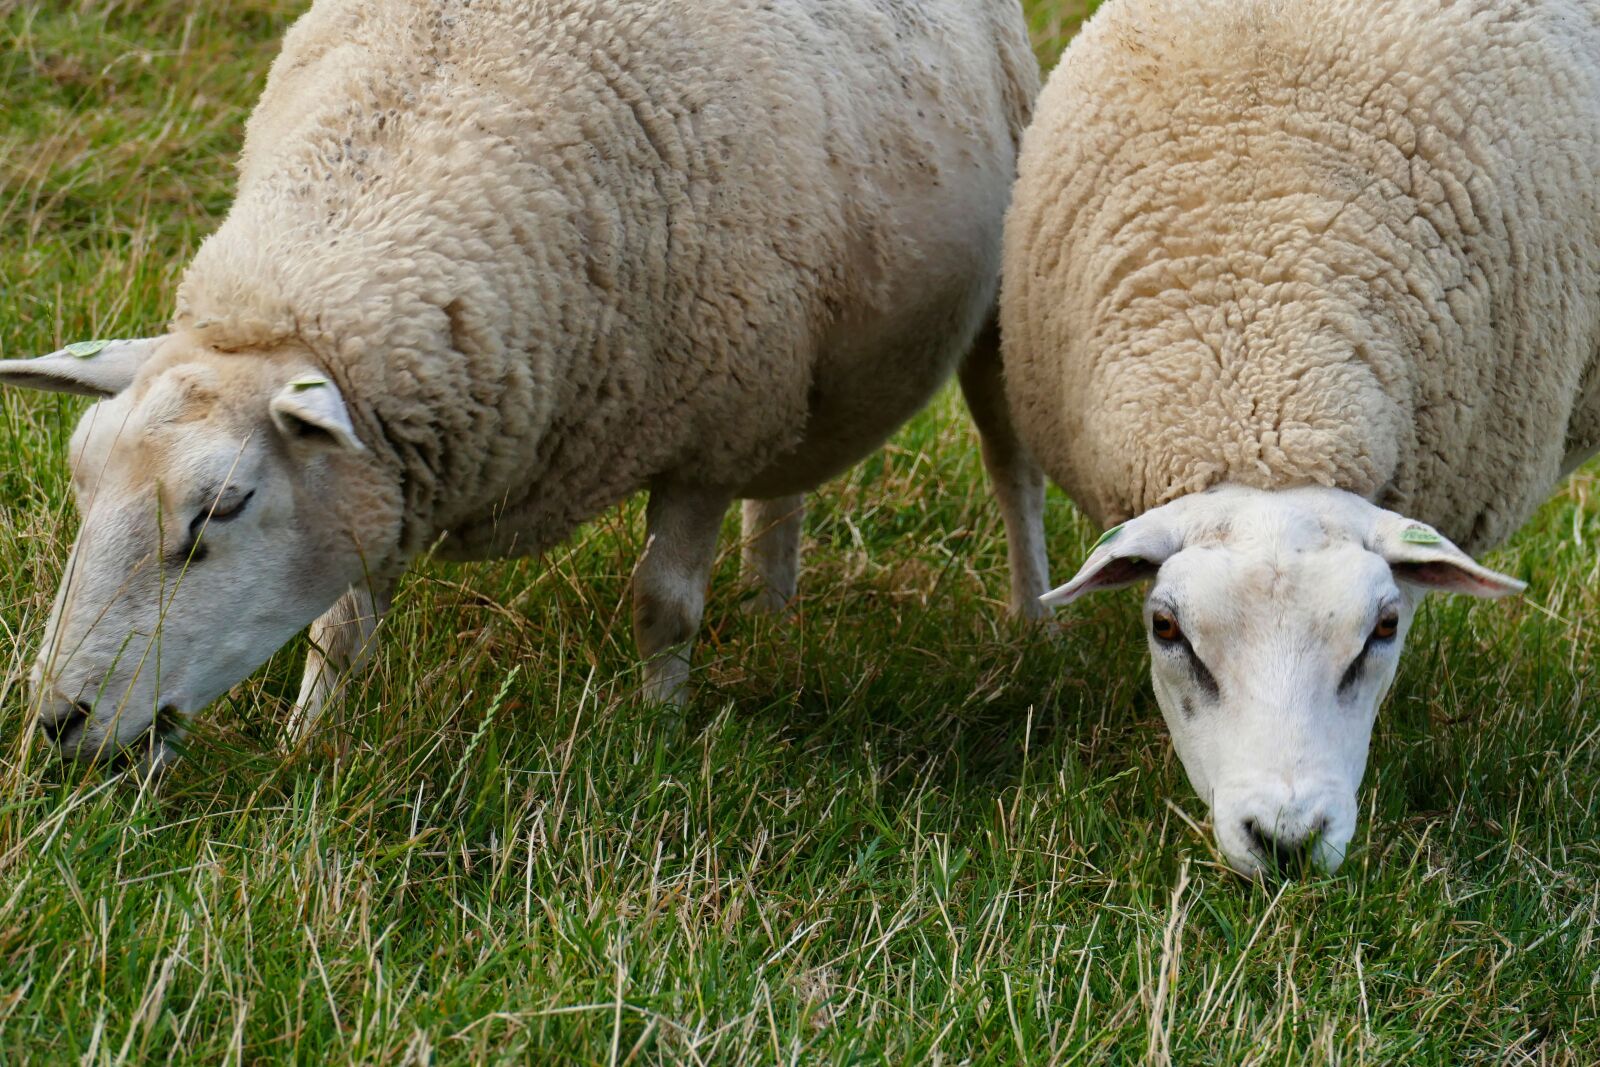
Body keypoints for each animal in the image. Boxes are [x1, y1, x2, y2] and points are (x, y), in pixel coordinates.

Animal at [2, 0, 1049, 772]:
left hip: (998, 308)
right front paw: (311, 738)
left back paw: (1034, 627)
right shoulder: (383, 471)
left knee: (1012, 469)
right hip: (799, 363)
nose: (57, 722)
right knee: (785, 484)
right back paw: (771, 607)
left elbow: (664, 603)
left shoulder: (708, 429)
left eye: (221, 507)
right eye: (81, 483)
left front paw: (659, 735)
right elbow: (339, 624)